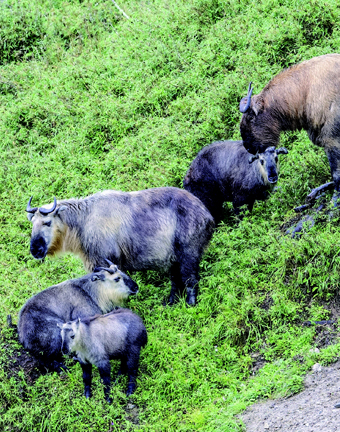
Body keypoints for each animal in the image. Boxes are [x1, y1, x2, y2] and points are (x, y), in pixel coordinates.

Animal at [26, 187, 214, 306]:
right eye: (32, 224)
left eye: (47, 222)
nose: (35, 250)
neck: (84, 222)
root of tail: (206, 214)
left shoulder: (106, 261)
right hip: (173, 260)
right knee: (176, 282)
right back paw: (170, 303)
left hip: (189, 254)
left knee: (190, 280)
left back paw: (191, 304)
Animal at [239, 54, 340, 200]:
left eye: (251, 117)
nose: (248, 147)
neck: (305, 91)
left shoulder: (332, 141)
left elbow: (336, 173)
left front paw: (335, 199)